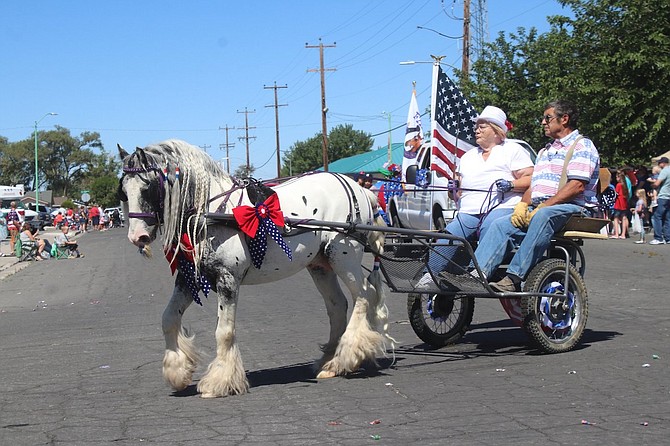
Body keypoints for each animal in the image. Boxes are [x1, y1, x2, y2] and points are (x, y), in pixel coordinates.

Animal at [118, 139, 394, 398]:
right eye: (123, 191)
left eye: (147, 186)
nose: (137, 237)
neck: (210, 213)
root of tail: (360, 189)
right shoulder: (189, 279)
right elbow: (168, 319)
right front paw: (177, 372)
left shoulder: (228, 279)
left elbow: (224, 331)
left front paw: (220, 381)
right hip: (320, 265)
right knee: (338, 306)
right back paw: (331, 362)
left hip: (344, 256)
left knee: (363, 297)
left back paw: (349, 357)